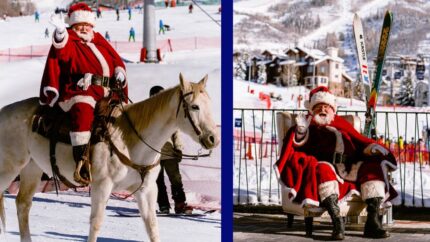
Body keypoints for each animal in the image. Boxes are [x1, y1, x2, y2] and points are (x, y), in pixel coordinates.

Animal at [0, 73, 218, 242]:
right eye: (195, 107)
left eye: (209, 104)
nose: (213, 138)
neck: (129, 139)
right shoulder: (102, 186)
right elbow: (96, 223)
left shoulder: (147, 190)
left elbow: (152, 227)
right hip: (9, 168)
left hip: (32, 168)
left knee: (23, 204)